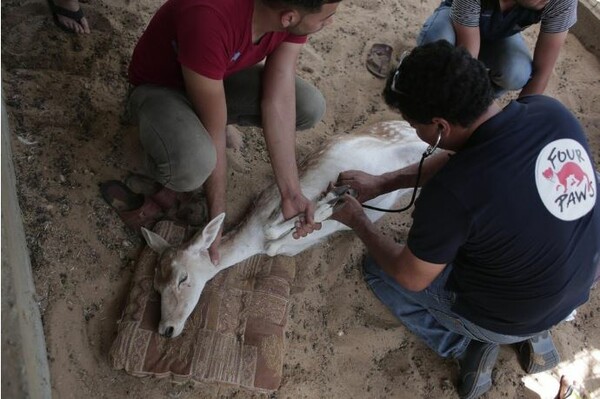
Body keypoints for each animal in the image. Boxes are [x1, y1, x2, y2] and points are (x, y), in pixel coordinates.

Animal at [142, 121, 428, 338]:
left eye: (183, 278)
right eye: (155, 286)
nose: (166, 329)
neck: (253, 237)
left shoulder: (283, 199)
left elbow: (272, 230)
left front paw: (329, 202)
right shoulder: (290, 246)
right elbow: (273, 245)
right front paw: (329, 206)